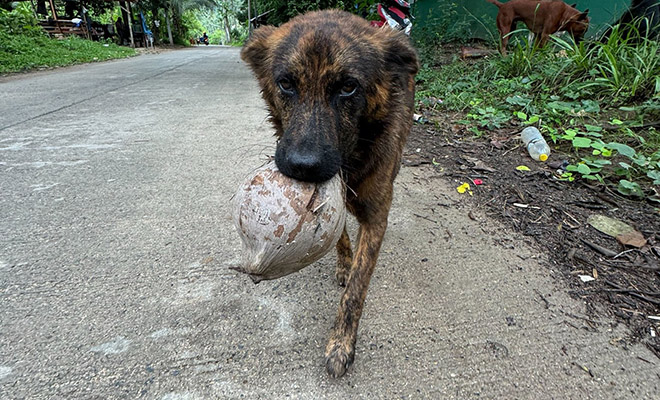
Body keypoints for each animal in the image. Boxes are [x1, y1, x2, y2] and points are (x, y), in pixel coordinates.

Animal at [241, 9, 418, 378]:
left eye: (348, 87)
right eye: (286, 83)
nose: (303, 167)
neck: (351, 160)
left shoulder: (377, 217)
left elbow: (356, 290)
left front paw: (341, 344)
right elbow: (339, 235)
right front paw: (344, 263)